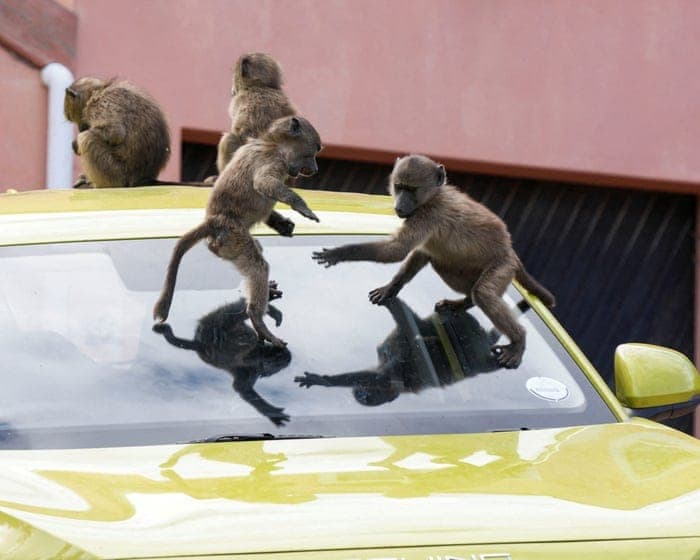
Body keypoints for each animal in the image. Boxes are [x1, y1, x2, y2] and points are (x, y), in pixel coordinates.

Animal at [153, 115, 322, 348]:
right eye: (314, 151)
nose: (314, 169)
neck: (272, 142)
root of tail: (214, 221)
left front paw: (282, 224)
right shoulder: (274, 160)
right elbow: (263, 182)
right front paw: (302, 207)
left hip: (230, 242)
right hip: (232, 237)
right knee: (258, 266)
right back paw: (257, 319)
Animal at [153, 298, 292, 426]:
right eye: (278, 362)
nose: (286, 357)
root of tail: (198, 344)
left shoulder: (251, 371)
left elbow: (242, 388)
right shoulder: (252, 368)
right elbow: (241, 387)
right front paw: (273, 414)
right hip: (211, 323)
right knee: (234, 314)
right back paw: (267, 306)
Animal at [312, 154, 555, 369]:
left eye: (411, 190)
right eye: (399, 187)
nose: (399, 205)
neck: (432, 197)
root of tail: (509, 248)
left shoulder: (429, 214)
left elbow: (397, 250)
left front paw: (338, 254)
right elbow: (419, 253)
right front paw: (391, 288)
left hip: (502, 266)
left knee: (484, 293)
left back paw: (518, 341)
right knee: (446, 266)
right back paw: (464, 303)